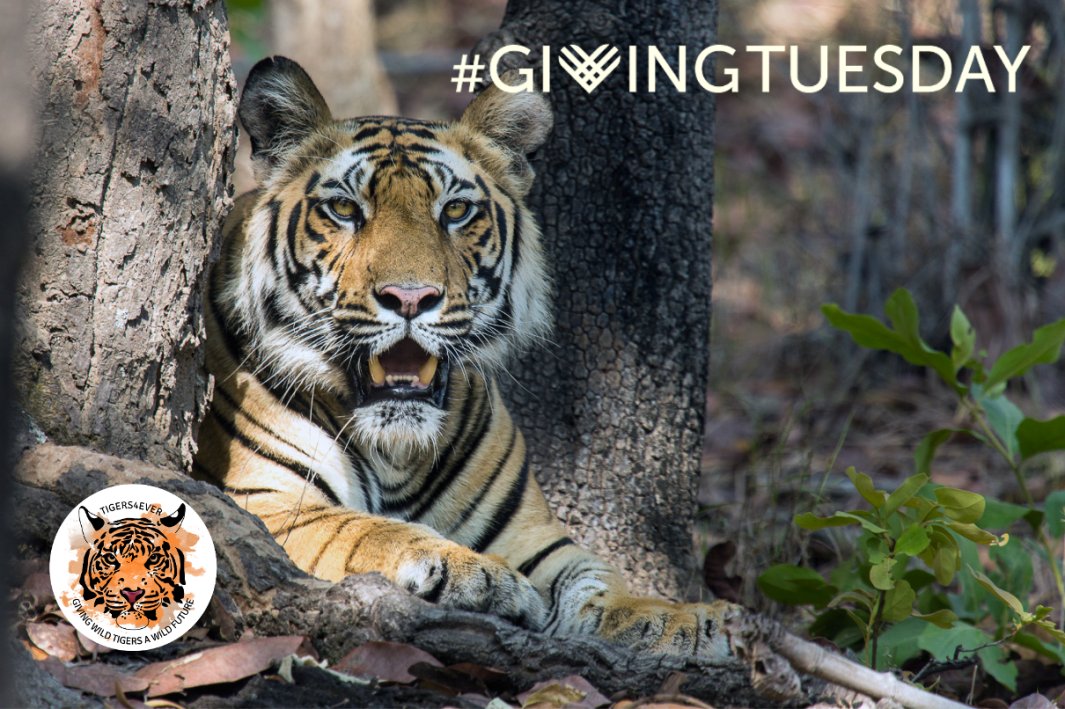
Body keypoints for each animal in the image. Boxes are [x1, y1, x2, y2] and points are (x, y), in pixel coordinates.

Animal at [193, 55, 736, 660]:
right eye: (343, 208)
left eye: (455, 211)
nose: (410, 297)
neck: (397, 452)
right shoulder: (264, 503)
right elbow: (366, 528)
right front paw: (477, 573)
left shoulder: (534, 537)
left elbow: (597, 578)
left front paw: (684, 620)